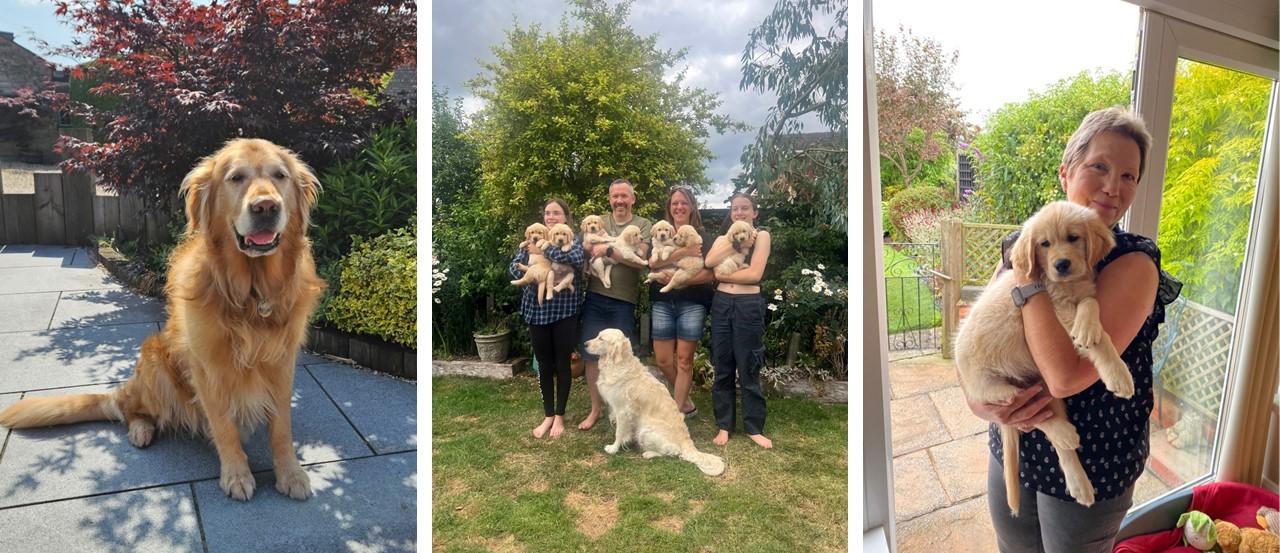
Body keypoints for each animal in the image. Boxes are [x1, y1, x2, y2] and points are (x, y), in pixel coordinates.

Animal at [0, 138, 325, 501]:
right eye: (236, 177)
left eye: (280, 175)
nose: (266, 207)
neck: (252, 295)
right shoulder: (208, 369)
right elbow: (223, 426)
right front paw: (236, 474)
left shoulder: (282, 363)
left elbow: (281, 425)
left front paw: (290, 472)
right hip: (157, 367)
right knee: (125, 407)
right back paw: (140, 428)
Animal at [586, 327, 727, 476]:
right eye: (597, 335)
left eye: (601, 339)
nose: (584, 344)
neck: (618, 363)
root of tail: (687, 442)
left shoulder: (622, 411)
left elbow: (619, 432)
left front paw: (613, 448)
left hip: (645, 431)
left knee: (673, 451)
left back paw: (648, 453)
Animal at [957, 200, 1126, 517]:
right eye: (1044, 244)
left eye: (1073, 237)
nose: (1061, 265)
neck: (1065, 284)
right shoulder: (1059, 312)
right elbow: (1102, 340)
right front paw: (1119, 375)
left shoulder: (1081, 297)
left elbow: (1091, 303)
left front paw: (1088, 328)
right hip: (994, 388)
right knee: (1031, 415)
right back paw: (1063, 432)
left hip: (1046, 383)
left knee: (1050, 426)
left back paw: (1078, 481)